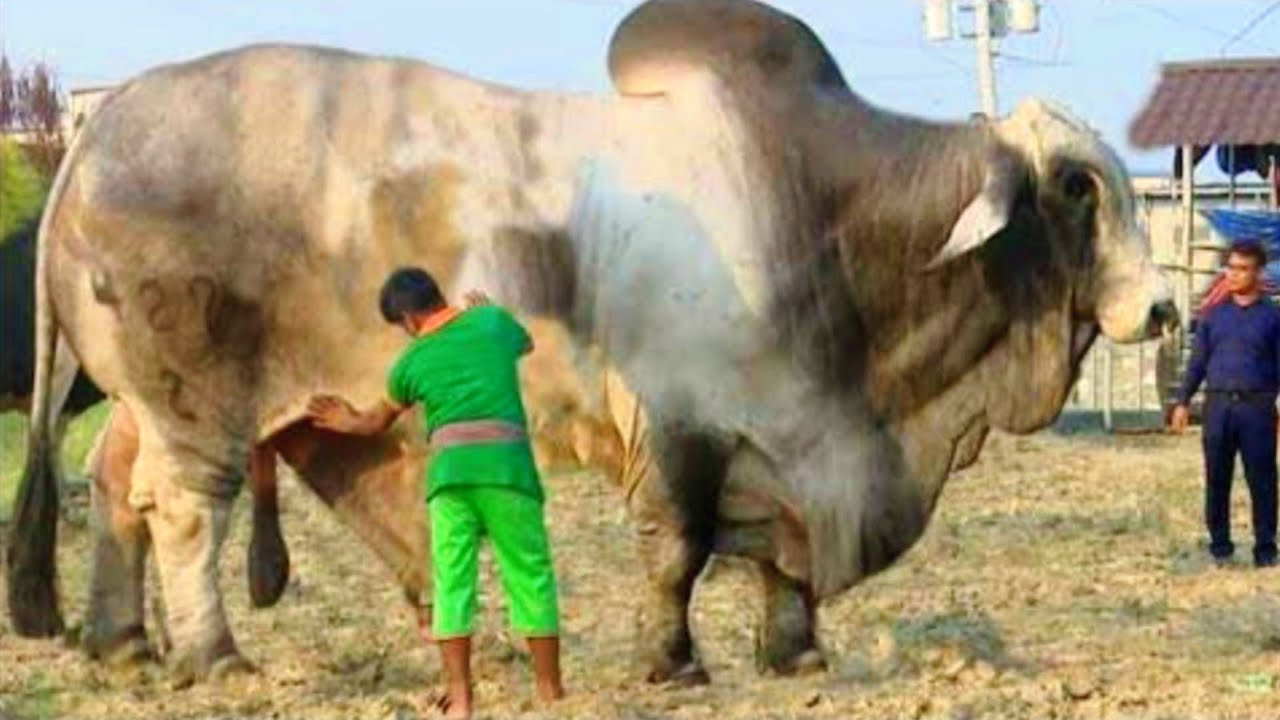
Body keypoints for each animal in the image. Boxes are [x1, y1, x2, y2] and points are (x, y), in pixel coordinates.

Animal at [8, 0, 1177, 687]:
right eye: (1079, 188)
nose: (1164, 313)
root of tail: (101, 127)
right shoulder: (681, 423)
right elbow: (679, 551)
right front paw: (673, 664)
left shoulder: (789, 435)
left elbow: (778, 559)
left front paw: (793, 654)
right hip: (195, 406)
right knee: (180, 515)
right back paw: (212, 656)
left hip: (150, 403)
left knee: (116, 493)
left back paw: (123, 643)